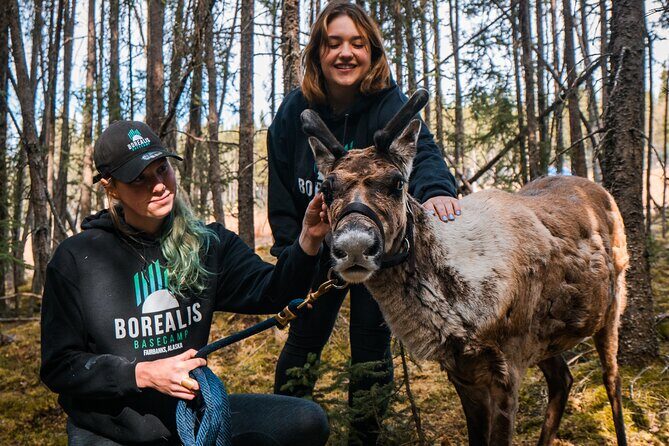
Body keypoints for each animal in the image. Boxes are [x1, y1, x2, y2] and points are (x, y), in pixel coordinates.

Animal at [301, 89, 629, 445]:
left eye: (398, 182)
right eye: (326, 188)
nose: (354, 246)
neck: (460, 307)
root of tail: (600, 190)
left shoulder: (507, 368)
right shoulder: (462, 371)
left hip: (611, 308)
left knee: (612, 381)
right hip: (545, 339)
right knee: (563, 379)